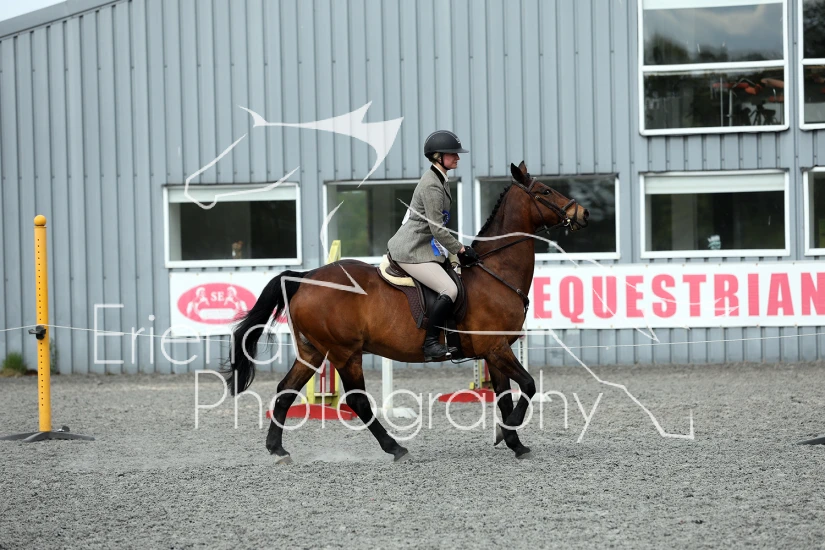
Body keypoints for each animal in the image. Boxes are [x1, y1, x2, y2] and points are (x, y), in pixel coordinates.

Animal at [225, 161, 589, 463]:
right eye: (545, 191)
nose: (583, 213)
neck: (494, 271)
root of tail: (306, 278)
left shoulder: (494, 351)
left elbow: (504, 396)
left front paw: (513, 441)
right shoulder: (496, 348)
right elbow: (527, 385)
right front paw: (510, 432)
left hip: (314, 351)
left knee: (285, 391)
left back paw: (277, 449)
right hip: (344, 352)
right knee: (357, 401)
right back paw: (396, 448)